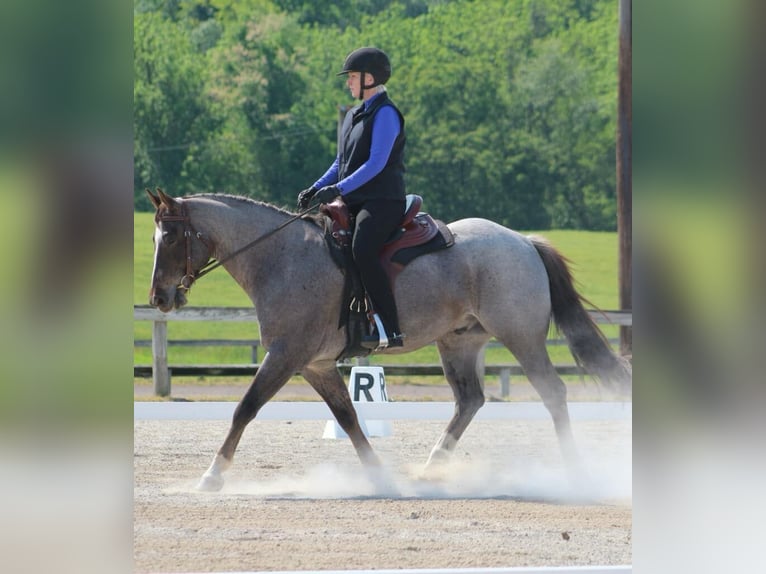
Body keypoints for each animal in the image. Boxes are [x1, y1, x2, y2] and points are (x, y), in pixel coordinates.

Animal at [144, 190, 632, 496]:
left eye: (171, 236)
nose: (160, 298)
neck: (281, 257)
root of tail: (523, 241)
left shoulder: (285, 355)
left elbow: (245, 408)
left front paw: (211, 477)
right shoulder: (315, 364)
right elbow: (348, 417)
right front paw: (380, 477)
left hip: (522, 338)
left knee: (553, 393)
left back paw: (575, 472)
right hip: (458, 343)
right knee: (469, 401)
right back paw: (431, 468)